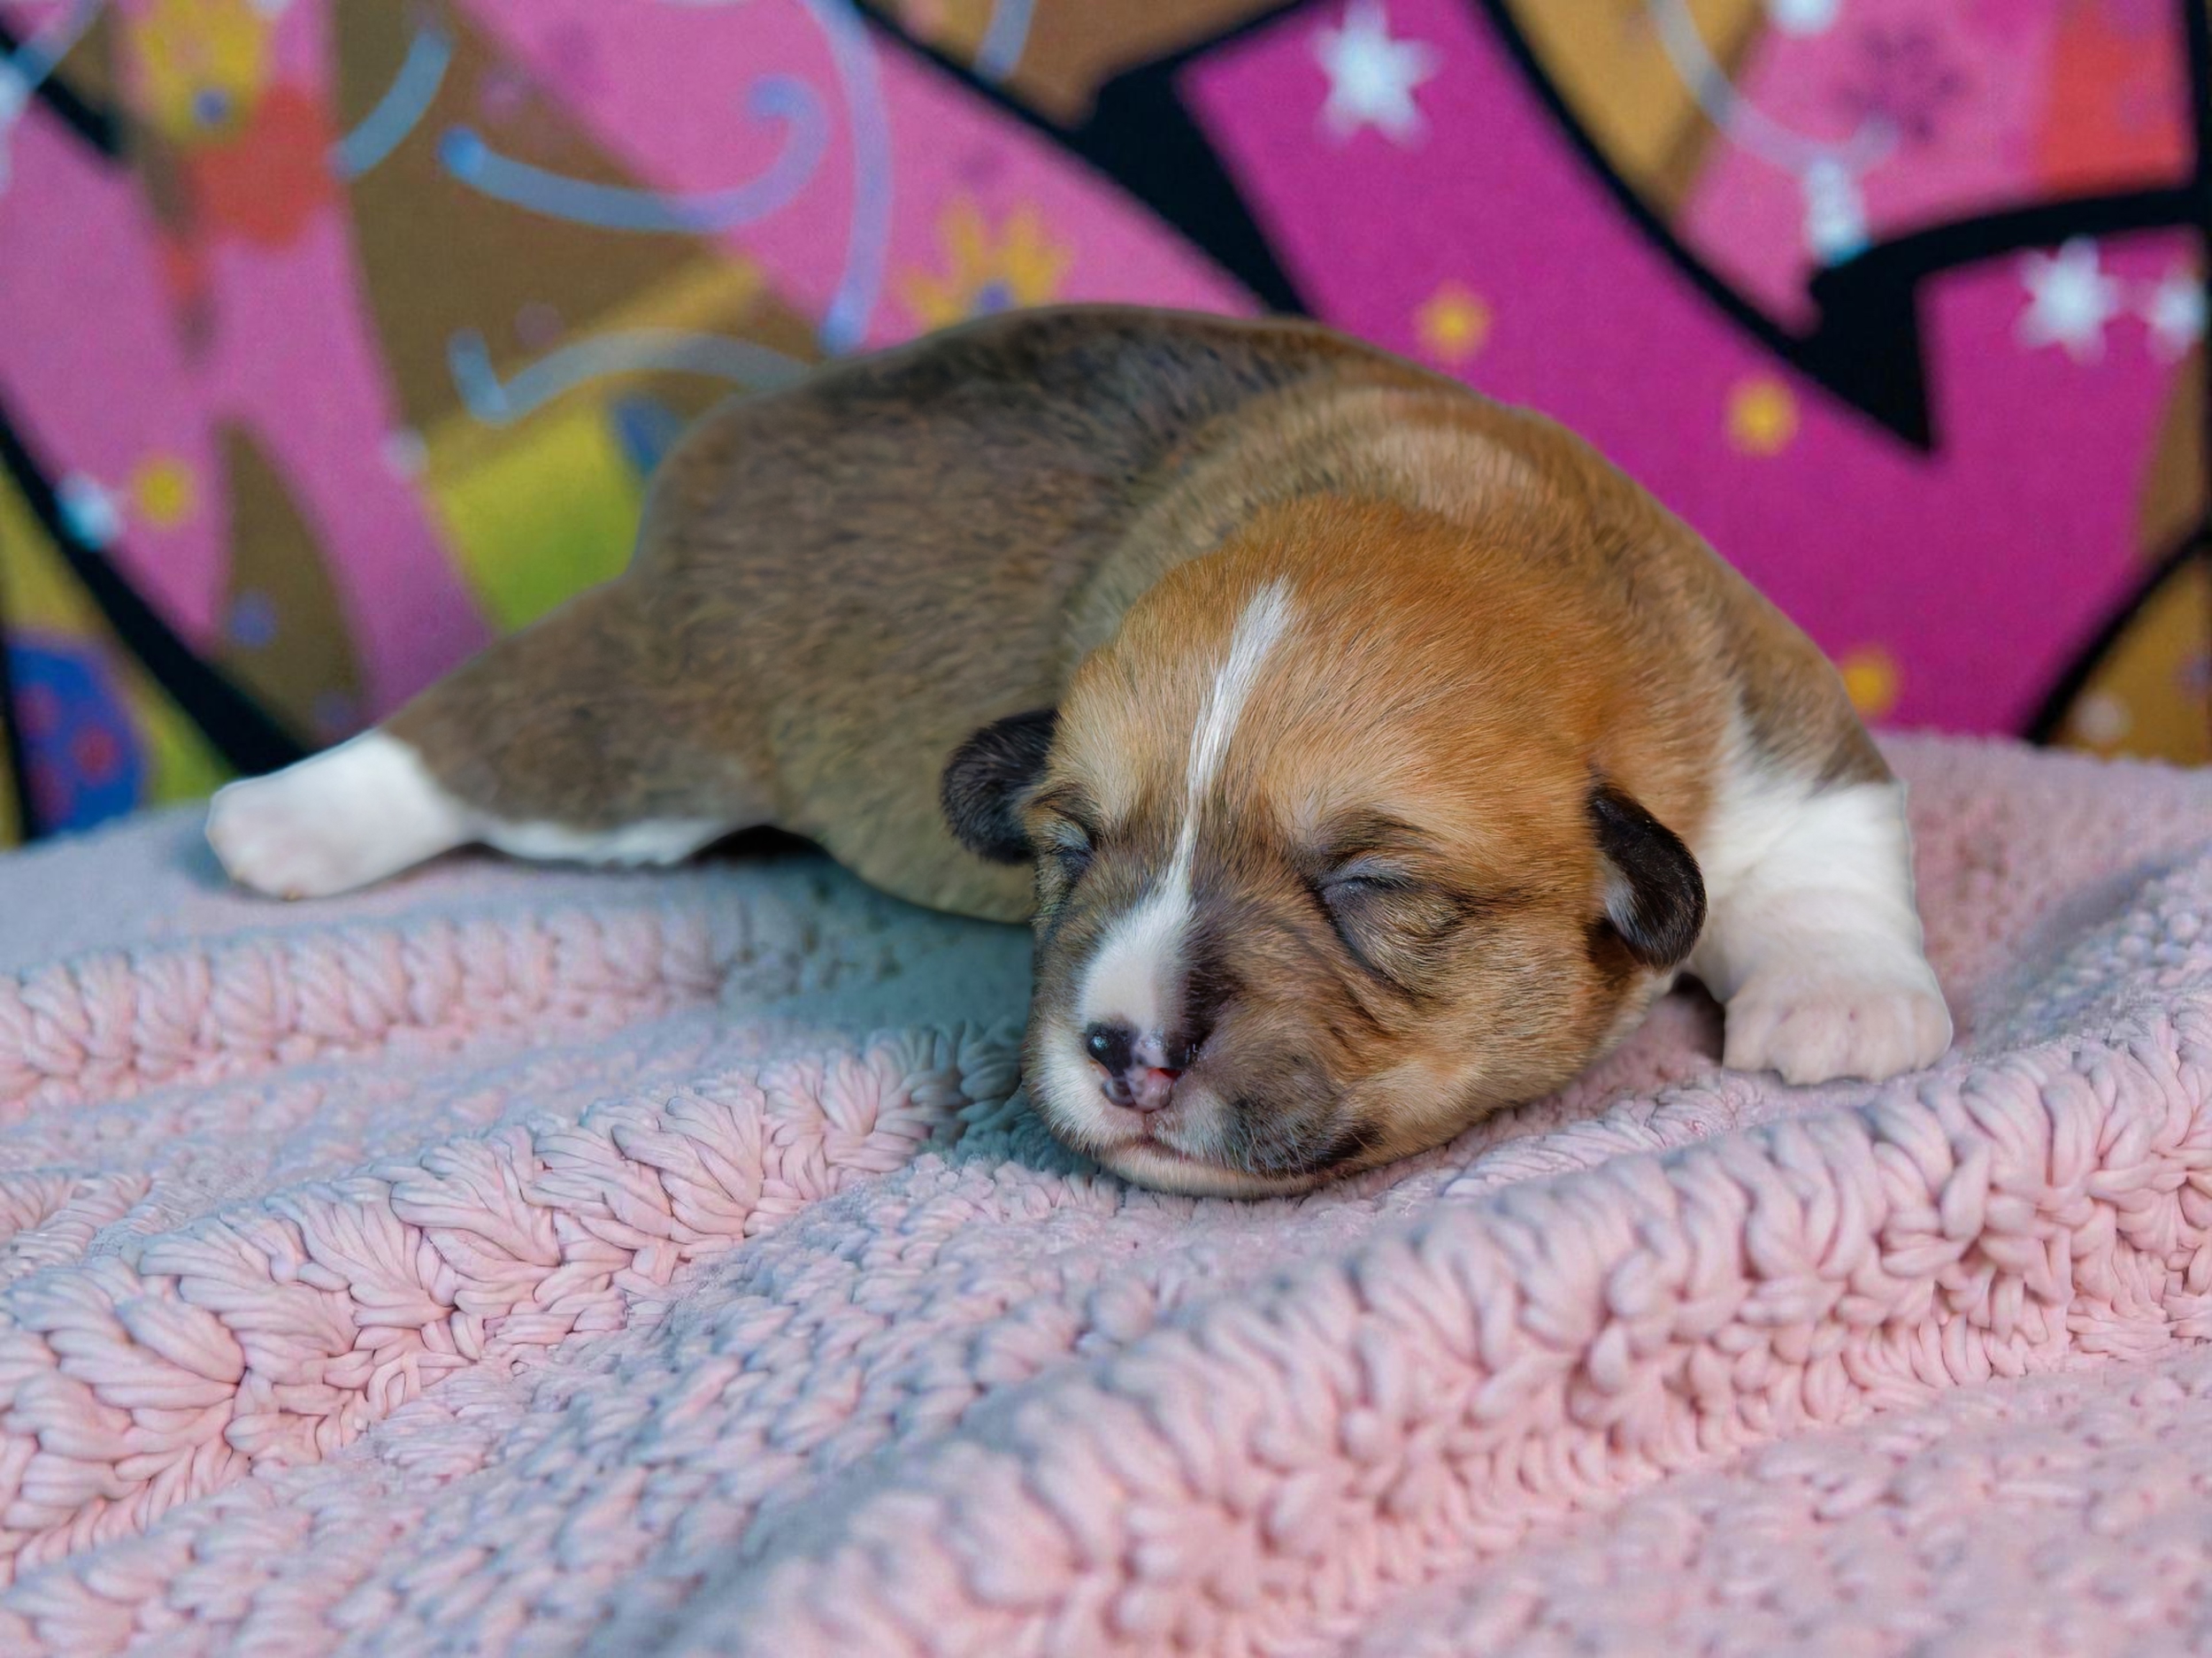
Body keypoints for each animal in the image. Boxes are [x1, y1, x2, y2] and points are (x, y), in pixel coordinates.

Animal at [207, 306, 1951, 1196]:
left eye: (1371, 884)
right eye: (1070, 844)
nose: (1123, 1047)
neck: (1441, 508)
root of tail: (739, 433)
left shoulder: (1776, 723)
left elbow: (1830, 857)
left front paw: (1844, 1001)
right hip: (659, 721)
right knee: (476, 740)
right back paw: (277, 821)